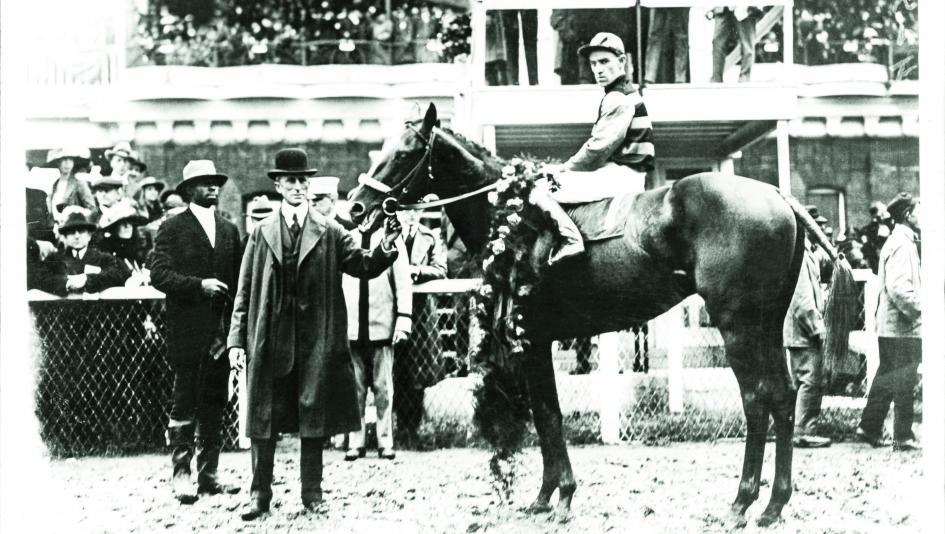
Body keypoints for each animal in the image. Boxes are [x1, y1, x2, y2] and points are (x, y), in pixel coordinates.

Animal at [348, 103, 856, 528]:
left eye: (405, 152)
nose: (355, 205)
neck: (514, 215)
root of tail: (776, 194)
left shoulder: (533, 340)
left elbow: (548, 416)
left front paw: (560, 497)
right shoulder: (538, 343)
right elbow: (546, 415)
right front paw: (546, 496)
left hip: (739, 327)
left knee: (757, 399)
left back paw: (741, 502)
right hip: (765, 326)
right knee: (784, 396)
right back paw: (773, 505)